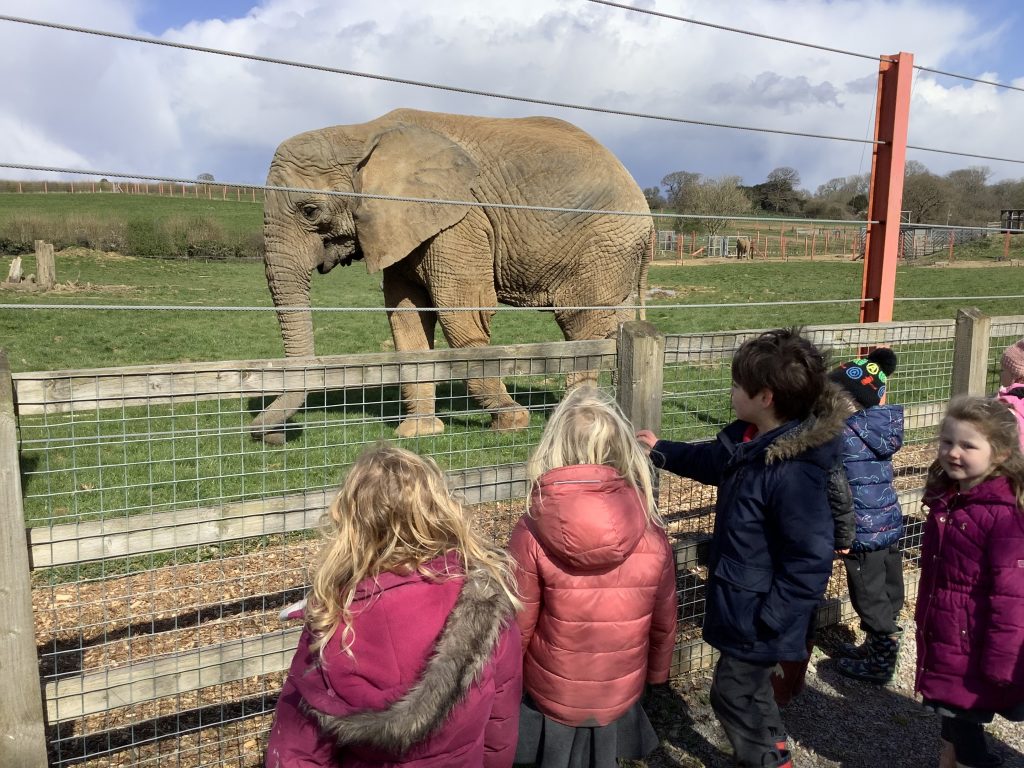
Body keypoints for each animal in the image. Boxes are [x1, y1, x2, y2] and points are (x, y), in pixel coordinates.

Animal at [251, 108, 653, 444]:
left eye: (310, 211)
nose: (270, 436)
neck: (361, 134)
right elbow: (406, 319)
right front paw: (418, 433)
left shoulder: (460, 220)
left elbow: (463, 317)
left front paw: (511, 423)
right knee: (613, 322)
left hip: (604, 245)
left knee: (579, 322)